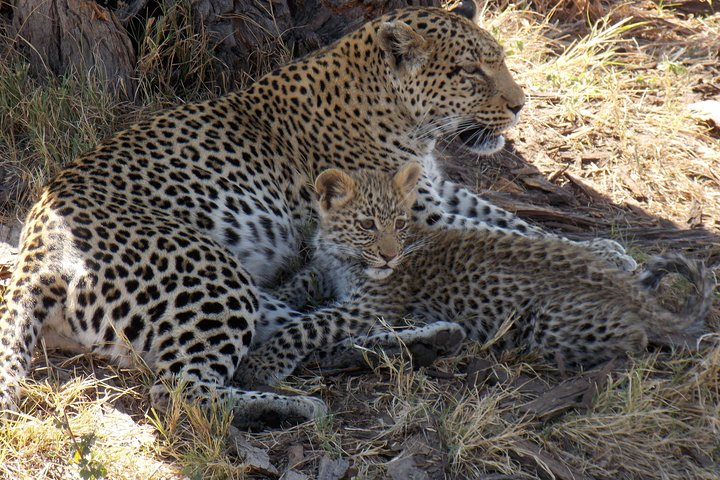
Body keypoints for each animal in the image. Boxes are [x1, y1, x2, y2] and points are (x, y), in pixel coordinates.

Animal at [0, 2, 632, 424]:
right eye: (471, 72)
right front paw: (604, 262)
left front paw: (605, 250)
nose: (521, 106)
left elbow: (511, 220)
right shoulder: (414, 206)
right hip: (209, 273)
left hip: (237, 288)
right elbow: (502, 230)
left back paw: (427, 340)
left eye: (497, 62)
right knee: (184, 389)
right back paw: (296, 407)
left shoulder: (431, 188)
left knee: (303, 330)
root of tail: (36, 249)